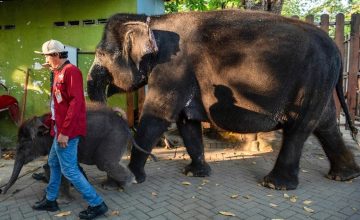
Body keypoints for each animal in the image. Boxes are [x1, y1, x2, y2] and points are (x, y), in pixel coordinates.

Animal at [1, 105, 154, 194]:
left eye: (23, 145)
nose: (3, 192)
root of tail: (125, 123)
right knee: (112, 162)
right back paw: (110, 185)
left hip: (114, 138)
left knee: (105, 163)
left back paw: (128, 183)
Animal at [87, 9, 360, 189]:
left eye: (101, 54)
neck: (152, 21)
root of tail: (338, 51)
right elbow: (186, 122)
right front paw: (194, 174)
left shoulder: (173, 69)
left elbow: (157, 117)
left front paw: (119, 183)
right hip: (320, 82)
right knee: (325, 124)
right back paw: (345, 176)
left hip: (312, 81)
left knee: (299, 128)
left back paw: (275, 185)